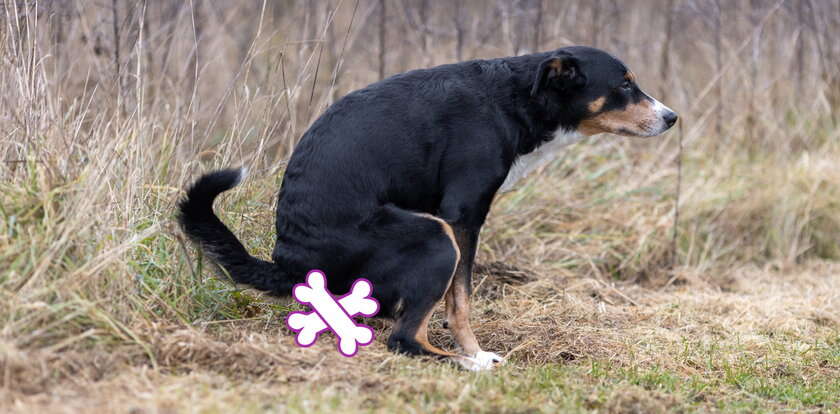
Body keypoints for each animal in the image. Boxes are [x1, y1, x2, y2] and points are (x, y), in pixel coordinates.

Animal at [177, 47, 676, 370]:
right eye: (624, 84)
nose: (672, 117)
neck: (515, 100)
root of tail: (289, 259)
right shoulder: (462, 217)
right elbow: (461, 302)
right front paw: (475, 352)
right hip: (435, 237)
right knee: (404, 338)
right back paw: (468, 365)